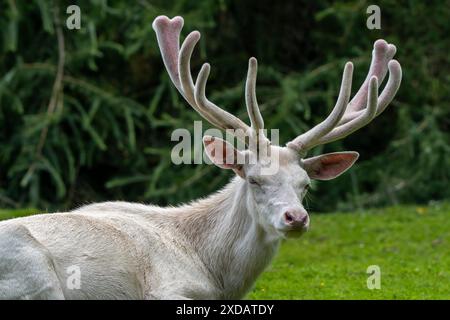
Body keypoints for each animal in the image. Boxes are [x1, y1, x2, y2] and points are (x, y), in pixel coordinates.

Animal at [0, 15, 400, 300]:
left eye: (305, 185)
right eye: (254, 179)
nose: (296, 218)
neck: (216, 274)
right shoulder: (164, 288)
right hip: (36, 273)